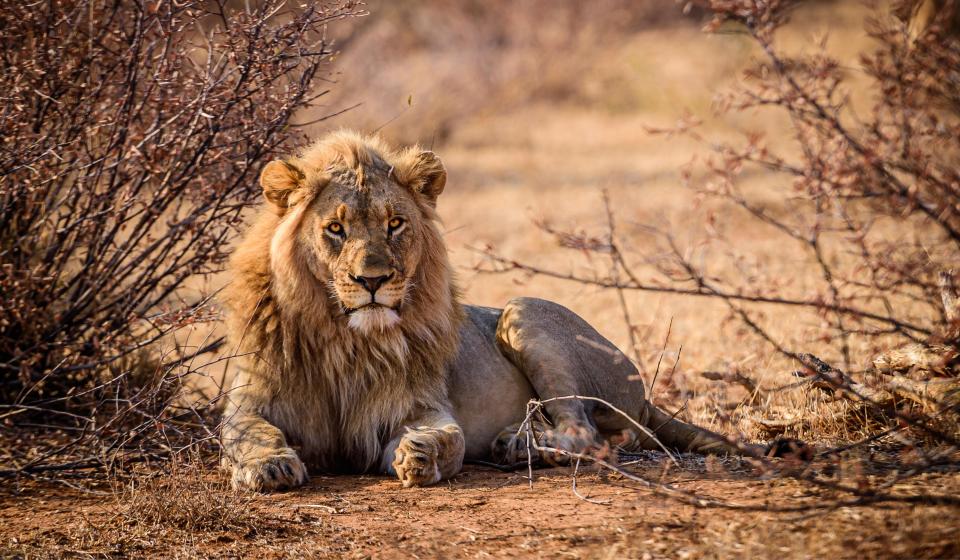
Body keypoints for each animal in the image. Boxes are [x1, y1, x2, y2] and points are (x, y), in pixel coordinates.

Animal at [221, 130, 780, 491]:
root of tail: (644, 395)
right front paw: (270, 467)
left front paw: (420, 455)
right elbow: (246, 432)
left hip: (522, 312)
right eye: (335, 229)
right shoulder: (249, 399)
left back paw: (519, 445)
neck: (345, 338)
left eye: (395, 223)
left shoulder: (418, 406)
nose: (373, 281)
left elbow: (446, 436)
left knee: (589, 434)